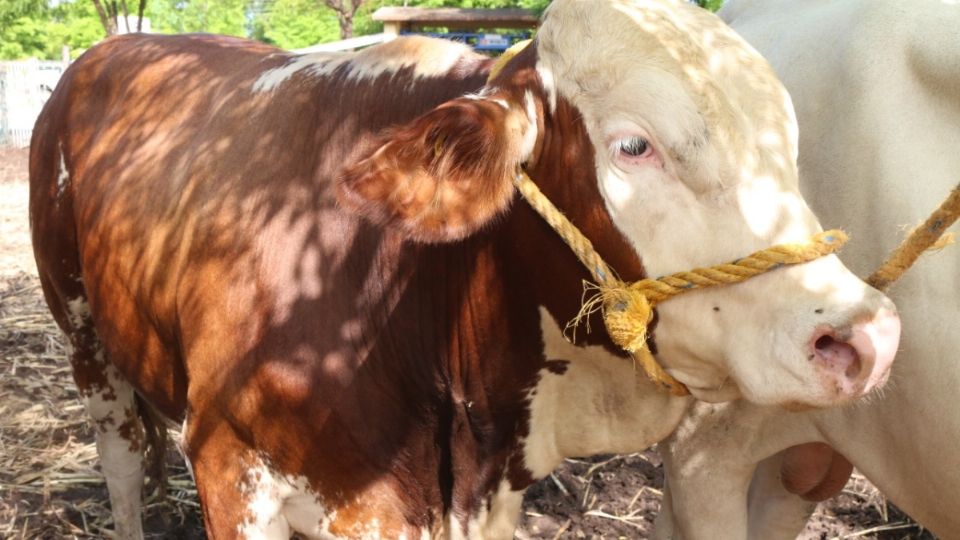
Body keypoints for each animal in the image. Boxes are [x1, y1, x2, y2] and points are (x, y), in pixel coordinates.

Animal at [28, 2, 900, 536]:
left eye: (788, 142)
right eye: (633, 145)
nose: (868, 336)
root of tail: (119, 45)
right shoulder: (229, 467)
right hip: (83, 338)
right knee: (118, 463)